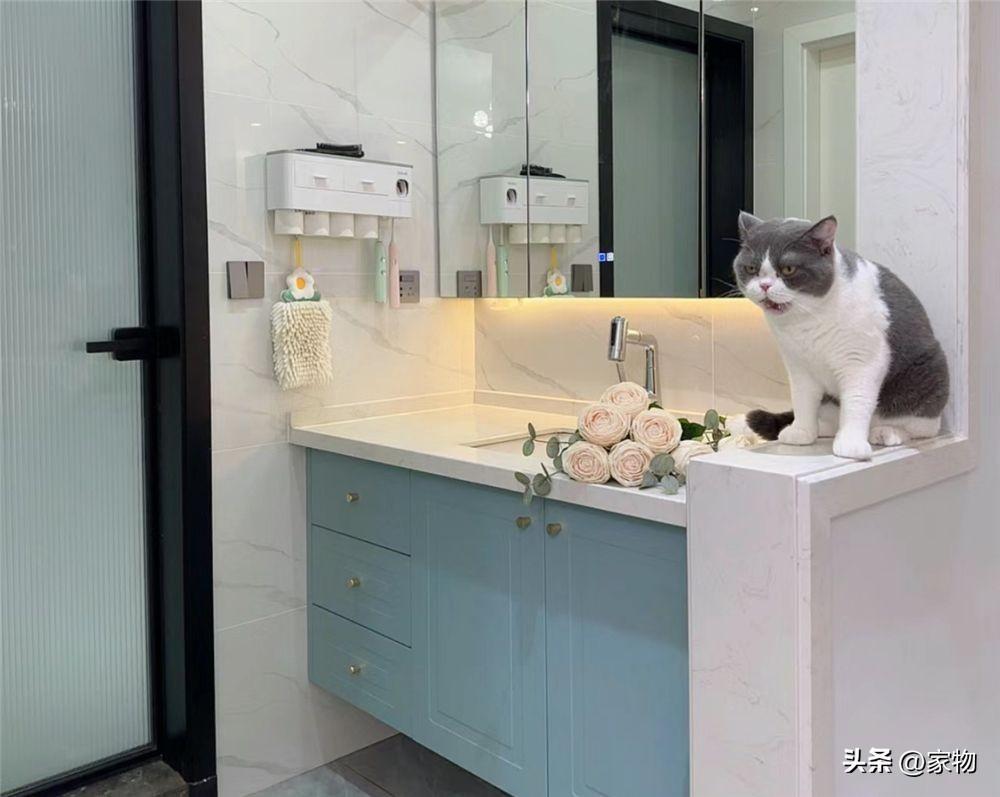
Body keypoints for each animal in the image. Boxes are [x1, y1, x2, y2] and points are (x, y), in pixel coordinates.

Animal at [732, 212, 949, 460]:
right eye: (751, 268)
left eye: (788, 269)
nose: (765, 286)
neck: (807, 321)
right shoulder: (797, 364)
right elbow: (802, 399)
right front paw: (801, 431)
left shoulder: (862, 360)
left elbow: (857, 401)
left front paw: (851, 444)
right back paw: (822, 428)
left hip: (925, 376)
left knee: (922, 427)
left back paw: (886, 432)